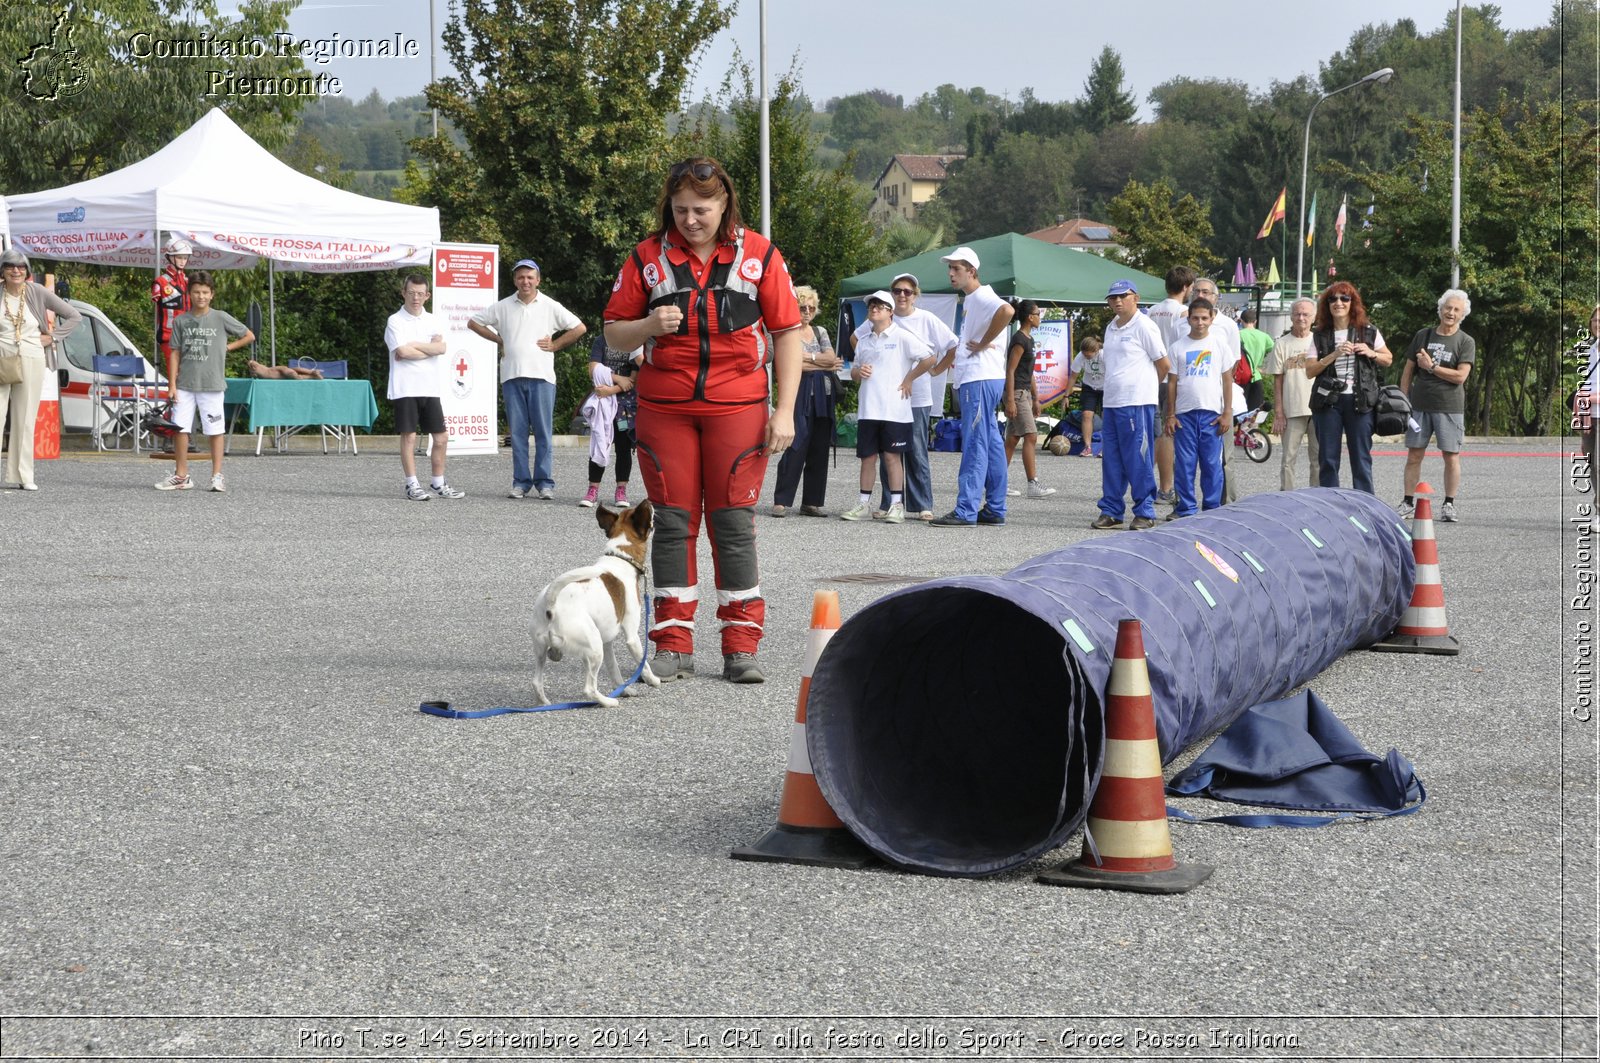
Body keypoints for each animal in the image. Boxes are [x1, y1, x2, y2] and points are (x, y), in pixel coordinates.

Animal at [528, 499, 659, 704]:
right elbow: (643, 663)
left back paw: (545, 704)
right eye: (650, 515)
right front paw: (653, 680)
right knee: (589, 689)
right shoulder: (632, 636)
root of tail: (551, 605)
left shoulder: (608, 642)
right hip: (594, 647)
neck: (621, 557)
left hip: (543, 649)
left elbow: (614, 669)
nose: (650, 502)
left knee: (536, 682)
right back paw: (608, 701)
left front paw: (623, 690)